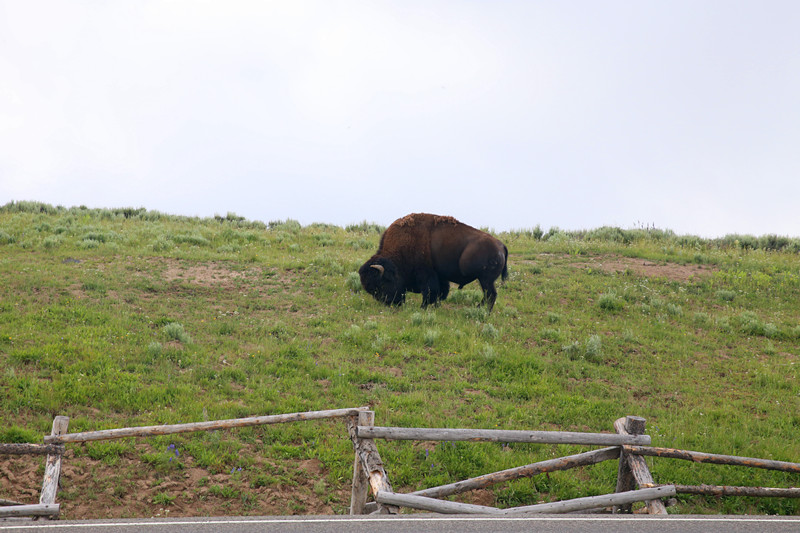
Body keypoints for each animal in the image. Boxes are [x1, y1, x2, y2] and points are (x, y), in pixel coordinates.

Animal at [360, 213, 510, 312]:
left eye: (381, 284)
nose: (390, 303)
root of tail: (500, 245)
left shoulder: (426, 274)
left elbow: (429, 292)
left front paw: (423, 307)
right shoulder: (439, 277)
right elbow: (440, 292)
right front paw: (436, 306)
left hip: (485, 280)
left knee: (490, 294)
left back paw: (484, 312)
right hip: (485, 280)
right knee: (488, 295)